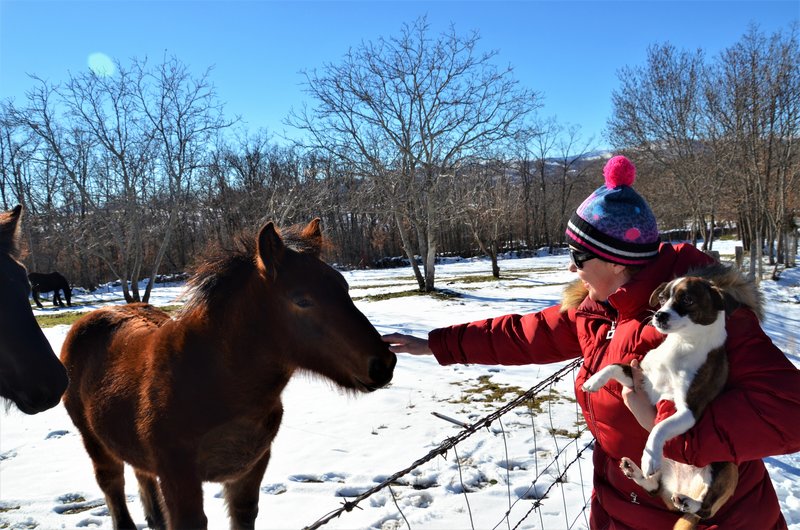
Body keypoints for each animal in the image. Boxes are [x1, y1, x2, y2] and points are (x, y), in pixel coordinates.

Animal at [59, 217, 396, 524]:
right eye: (302, 300)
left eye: (344, 287)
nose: (383, 364)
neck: (214, 382)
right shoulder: (178, 477)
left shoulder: (249, 472)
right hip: (96, 445)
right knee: (113, 490)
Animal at [580, 276, 736, 528]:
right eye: (662, 298)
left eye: (688, 299)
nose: (659, 315)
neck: (681, 344)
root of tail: (683, 486)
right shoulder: (641, 380)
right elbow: (614, 366)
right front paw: (593, 382)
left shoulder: (688, 411)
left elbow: (660, 427)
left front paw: (648, 456)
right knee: (654, 487)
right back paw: (635, 472)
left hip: (725, 468)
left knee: (706, 509)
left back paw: (687, 502)